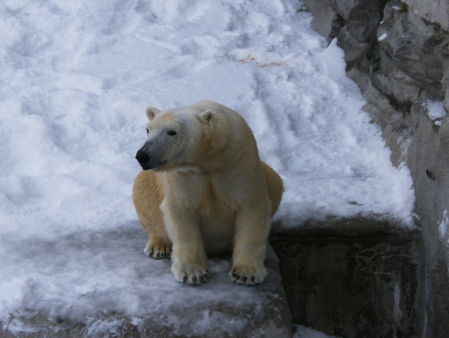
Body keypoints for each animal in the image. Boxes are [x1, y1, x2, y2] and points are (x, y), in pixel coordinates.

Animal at [131, 100, 282, 286]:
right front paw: (192, 273)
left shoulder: (239, 161)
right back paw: (159, 247)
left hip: (266, 172)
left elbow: (252, 206)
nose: (143, 155)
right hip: (150, 182)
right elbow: (181, 210)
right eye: (148, 129)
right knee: (142, 191)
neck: (208, 160)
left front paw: (245, 274)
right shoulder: (183, 175)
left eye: (172, 132)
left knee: (275, 181)